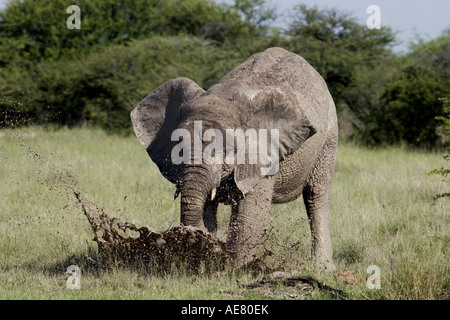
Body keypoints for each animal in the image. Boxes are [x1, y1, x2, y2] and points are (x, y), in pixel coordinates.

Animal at [132, 47, 340, 272]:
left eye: (228, 149)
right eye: (179, 146)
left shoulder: (262, 156)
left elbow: (249, 217)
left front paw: (232, 271)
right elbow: (207, 210)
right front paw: (205, 259)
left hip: (329, 138)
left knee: (315, 196)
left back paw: (323, 269)